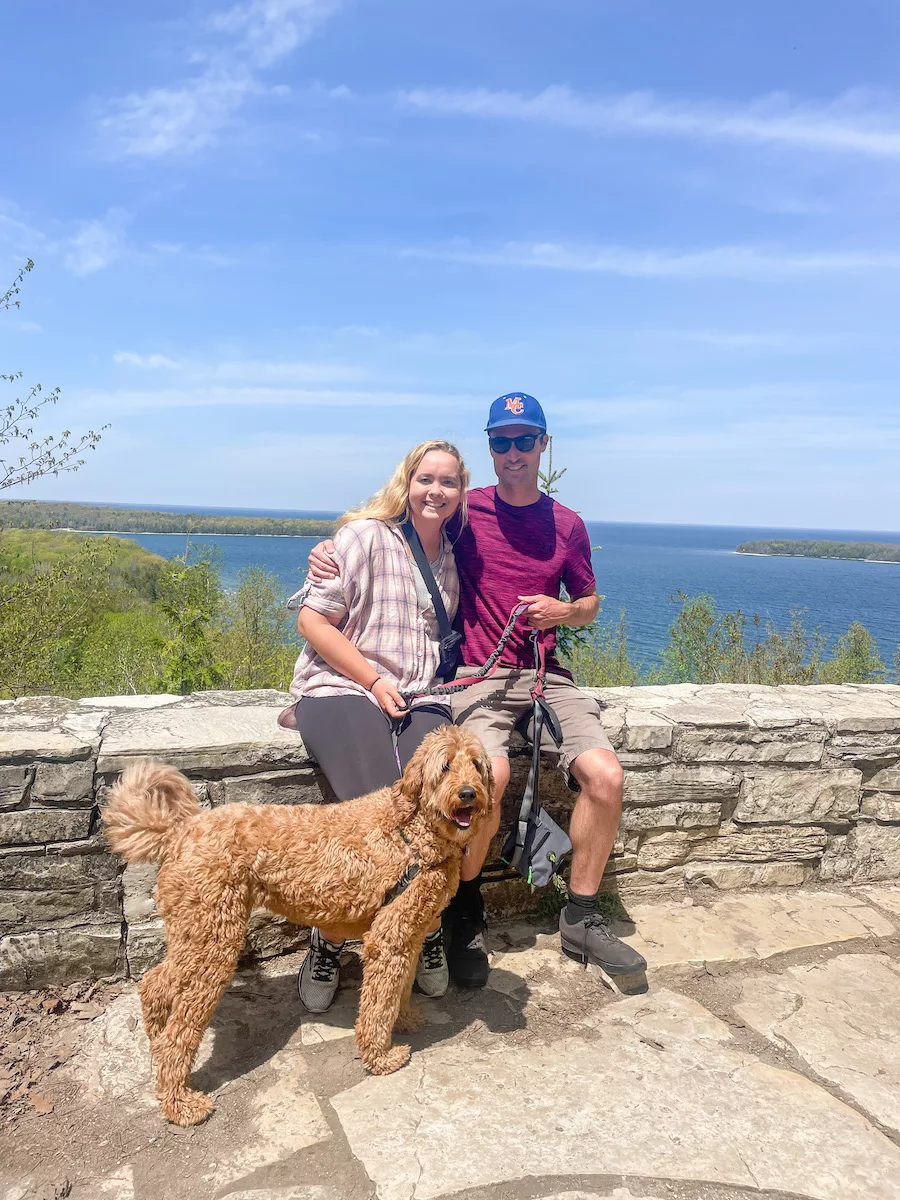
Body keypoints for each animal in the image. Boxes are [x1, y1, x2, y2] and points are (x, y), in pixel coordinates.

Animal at [105, 720, 494, 1123]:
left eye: (476, 765)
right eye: (445, 767)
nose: (468, 794)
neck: (411, 835)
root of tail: (179, 832)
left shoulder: (409, 934)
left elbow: (398, 990)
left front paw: (404, 1020)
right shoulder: (387, 940)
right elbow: (378, 1003)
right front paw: (380, 1056)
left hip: (196, 933)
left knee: (154, 983)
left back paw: (155, 1041)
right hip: (213, 940)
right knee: (179, 1029)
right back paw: (180, 1101)